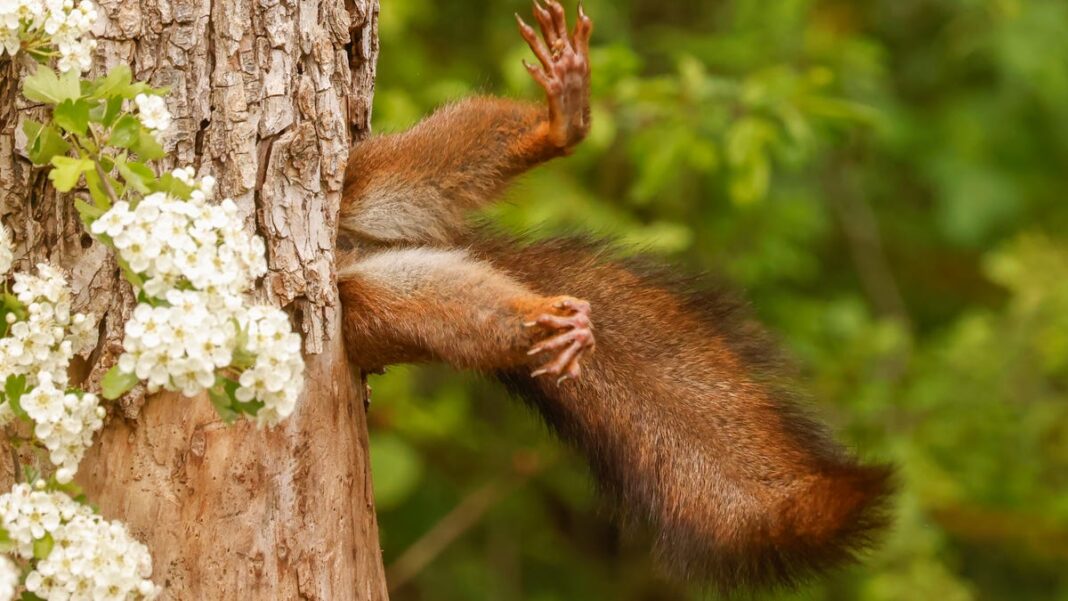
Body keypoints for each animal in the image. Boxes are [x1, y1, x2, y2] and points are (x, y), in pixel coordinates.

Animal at [333, 0, 892, 593]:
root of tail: (352, 249)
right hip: (371, 306)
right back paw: (545, 320)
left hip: (365, 181)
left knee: (430, 161)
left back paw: (560, 123)